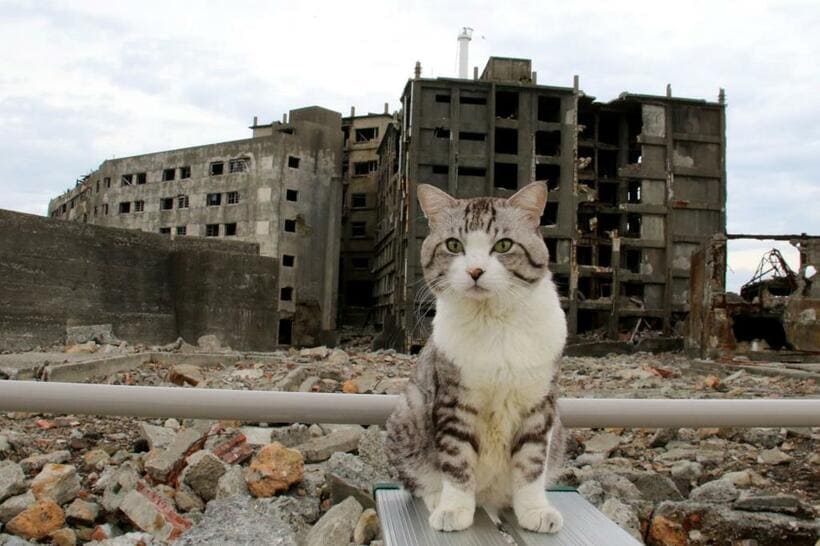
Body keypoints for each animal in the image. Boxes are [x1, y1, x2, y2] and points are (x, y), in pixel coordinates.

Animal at [382, 181, 564, 528]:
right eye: (454, 245)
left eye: (504, 245)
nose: (475, 270)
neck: (494, 321)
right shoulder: (454, 401)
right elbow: (456, 460)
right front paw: (453, 509)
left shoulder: (538, 404)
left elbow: (531, 463)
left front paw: (534, 510)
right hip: (407, 410)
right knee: (417, 480)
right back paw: (437, 499)